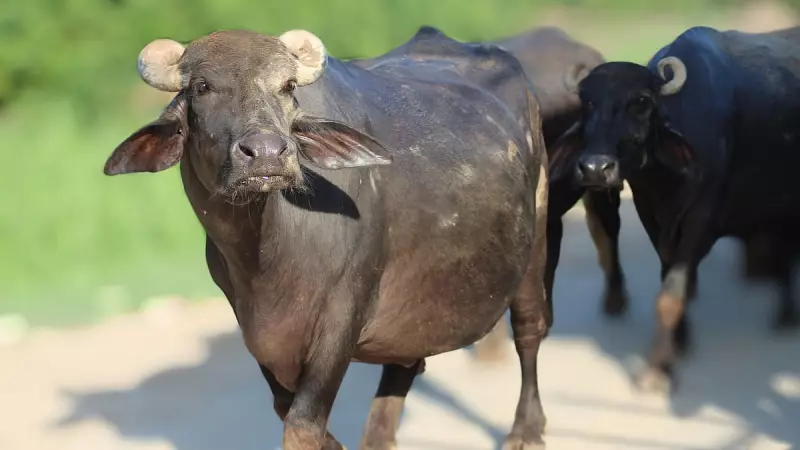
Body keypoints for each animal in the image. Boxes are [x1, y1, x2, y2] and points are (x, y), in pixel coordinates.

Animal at [104, 27, 550, 449]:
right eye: (202, 87)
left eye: (286, 86)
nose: (267, 153)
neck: (266, 253)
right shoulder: (255, 330)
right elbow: (285, 408)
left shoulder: (342, 317)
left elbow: (303, 424)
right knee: (404, 367)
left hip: (536, 242)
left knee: (530, 330)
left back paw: (526, 430)